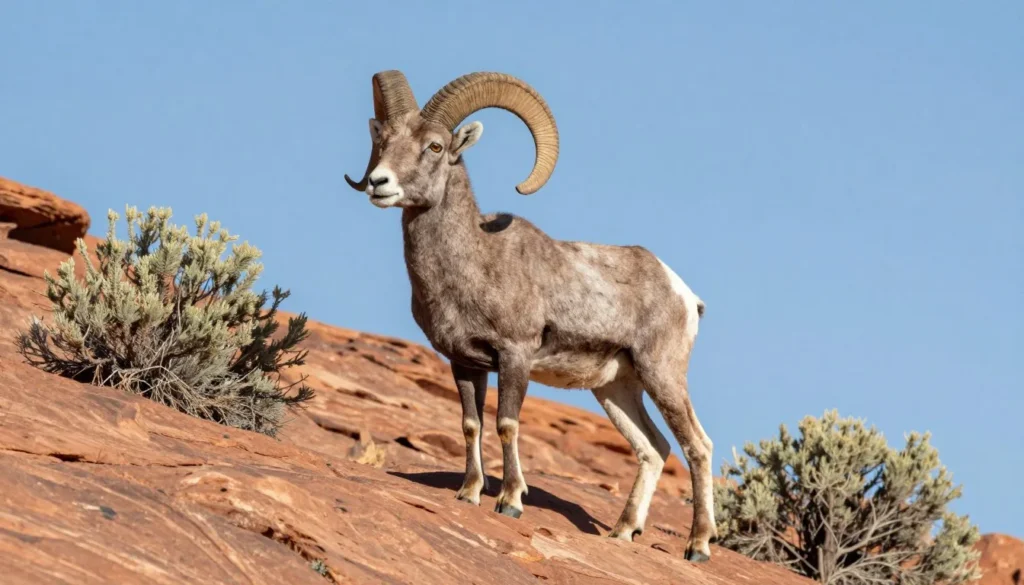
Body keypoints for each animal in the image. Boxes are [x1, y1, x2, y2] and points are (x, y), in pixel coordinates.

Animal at [345, 70, 716, 562]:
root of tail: (684, 294)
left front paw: (510, 501)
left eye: (436, 146)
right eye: (383, 139)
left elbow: (506, 425)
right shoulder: (465, 363)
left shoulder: (514, 357)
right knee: (653, 449)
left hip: (662, 375)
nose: (378, 182)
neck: (473, 263)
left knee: (697, 446)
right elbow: (471, 425)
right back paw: (622, 532)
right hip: (616, 389)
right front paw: (469, 493)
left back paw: (698, 546)